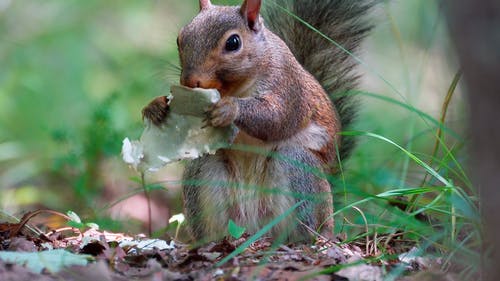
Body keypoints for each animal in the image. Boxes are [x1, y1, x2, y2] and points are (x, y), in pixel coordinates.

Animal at [142, 0, 376, 241]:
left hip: (298, 168)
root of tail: (254, 228)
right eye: (180, 38)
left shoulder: (289, 88)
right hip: (204, 175)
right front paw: (155, 106)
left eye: (233, 43)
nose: (190, 81)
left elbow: (276, 118)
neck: (234, 89)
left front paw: (229, 109)